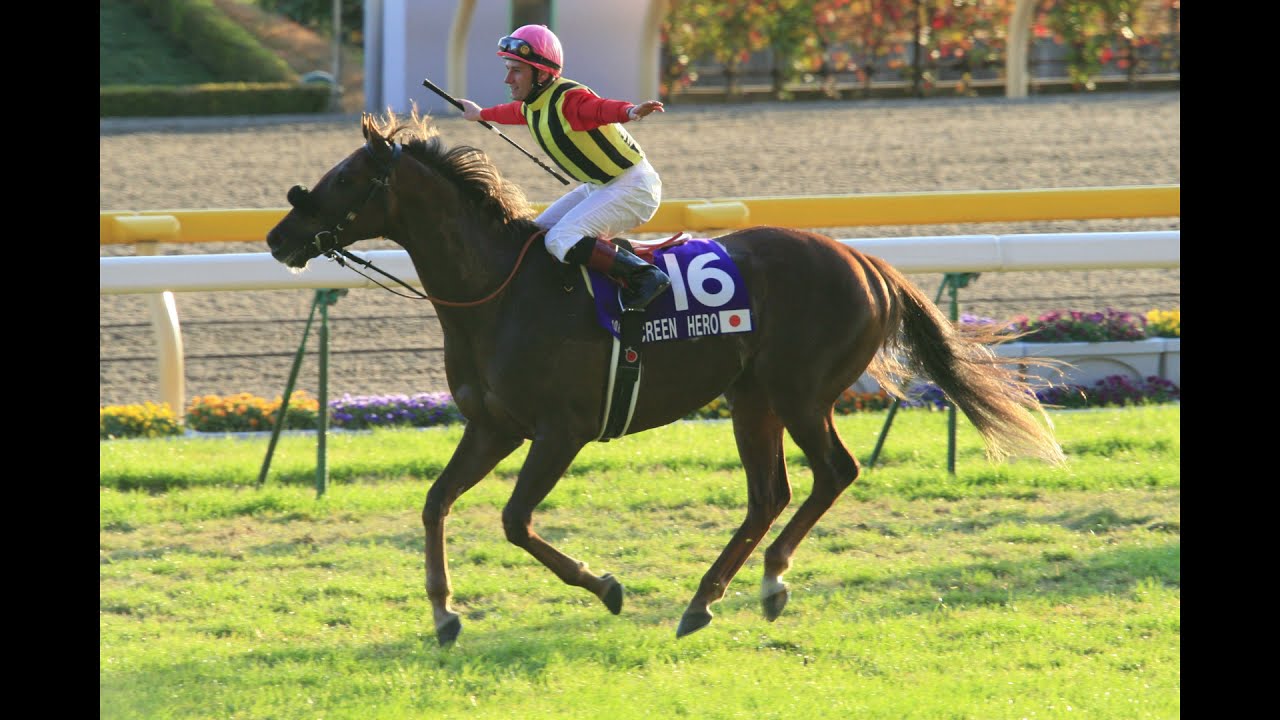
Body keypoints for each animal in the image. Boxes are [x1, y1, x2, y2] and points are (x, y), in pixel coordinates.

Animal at [266, 111, 1065, 646]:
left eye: (346, 176)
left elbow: (516, 521)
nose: (278, 237)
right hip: (752, 398)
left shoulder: (560, 431)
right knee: (769, 493)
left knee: (833, 472)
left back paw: (769, 580)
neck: (496, 291)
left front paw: (607, 587)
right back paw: (705, 599)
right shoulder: (494, 426)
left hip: (800, 393)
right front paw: (442, 613)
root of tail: (867, 262)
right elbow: (435, 503)